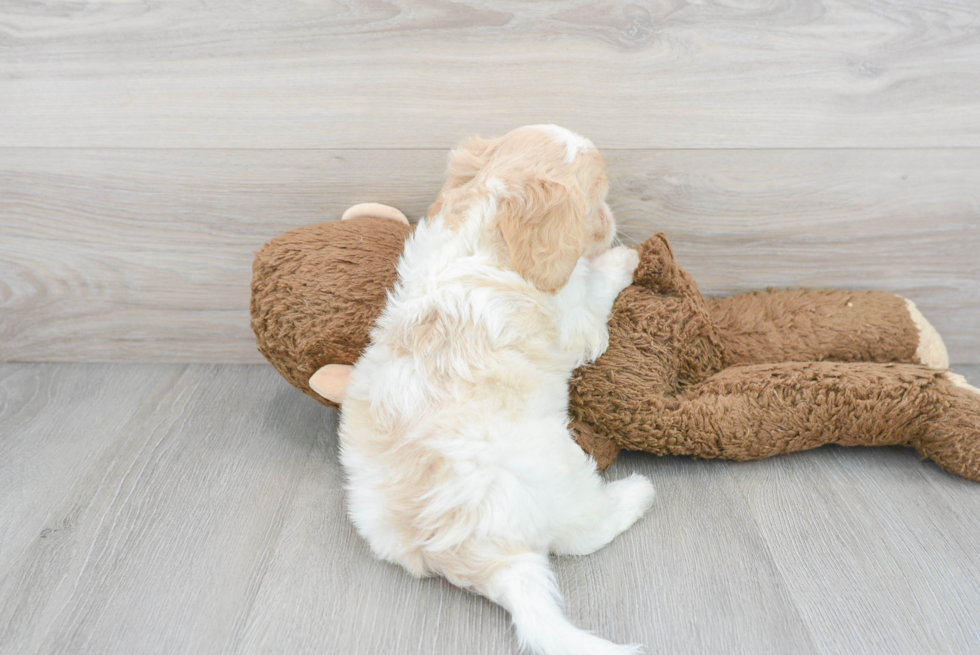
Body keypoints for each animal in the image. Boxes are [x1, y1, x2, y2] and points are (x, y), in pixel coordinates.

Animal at [340, 125, 656, 652]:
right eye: (598, 200)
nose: (613, 222)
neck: (483, 229)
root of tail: (477, 555)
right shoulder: (578, 321)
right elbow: (595, 287)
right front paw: (623, 257)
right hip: (561, 473)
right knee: (585, 531)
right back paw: (636, 493)